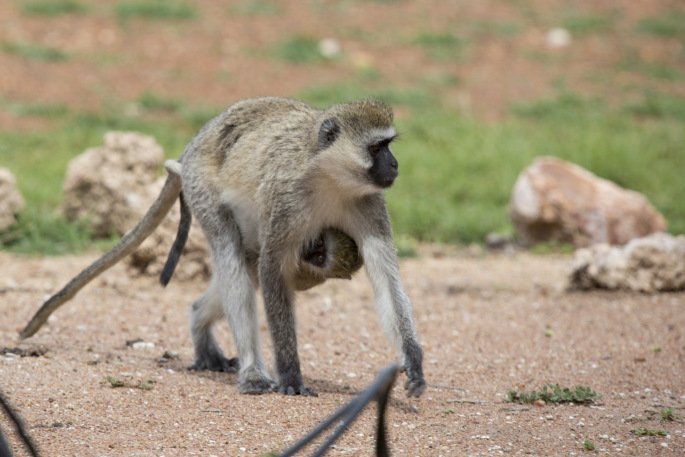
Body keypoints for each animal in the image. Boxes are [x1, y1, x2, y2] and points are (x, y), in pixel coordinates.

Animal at [21, 96, 424, 396]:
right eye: (378, 147)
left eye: (388, 146)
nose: (395, 165)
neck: (331, 179)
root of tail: (193, 145)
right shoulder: (286, 200)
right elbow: (272, 269)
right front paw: (291, 375)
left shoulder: (370, 205)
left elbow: (386, 282)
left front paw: (414, 362)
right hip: (202, 188)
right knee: (233, 257)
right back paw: (254, 373)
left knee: (242, 266)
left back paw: (202, 327)